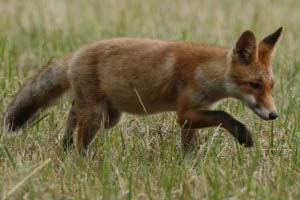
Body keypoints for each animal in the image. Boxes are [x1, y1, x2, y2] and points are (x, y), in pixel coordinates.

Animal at [3, 27, 282, 152]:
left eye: (271, 86)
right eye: (254, 85)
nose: (274, 115)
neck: (206, 72)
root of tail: (74, 55)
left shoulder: (192, 115)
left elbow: (190, 148)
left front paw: (190, 168)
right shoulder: (185, 112)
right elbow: (224, 115)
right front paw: (243, 134)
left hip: (107, 117)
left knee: (71, 123)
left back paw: (66, 151)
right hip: (96, 117)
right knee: (80, 141)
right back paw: (82, 163)